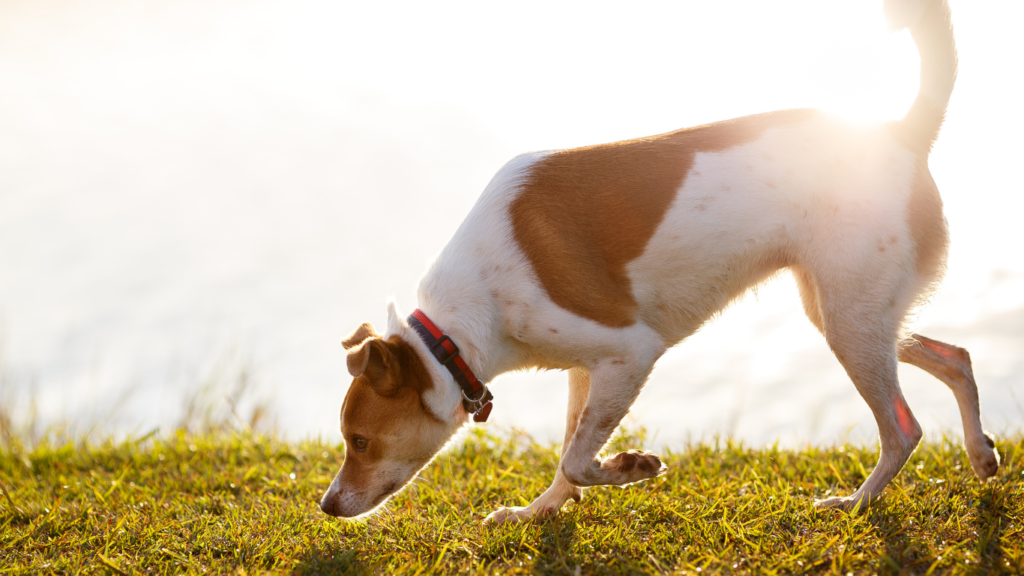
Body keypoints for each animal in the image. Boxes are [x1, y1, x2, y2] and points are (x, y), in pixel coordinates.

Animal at [319, 0, 999, 520]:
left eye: (360, 440)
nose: (326, 505)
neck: (456, 333)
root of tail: (900, 133)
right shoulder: (589, 370)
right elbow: (568, 454)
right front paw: (538, 513)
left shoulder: (631, 352)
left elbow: (576, 458)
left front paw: (632, 466)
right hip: (849, 312)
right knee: (954, 357)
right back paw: (981, 453)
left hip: (851, 320)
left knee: (903, 429)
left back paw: (857, 503)